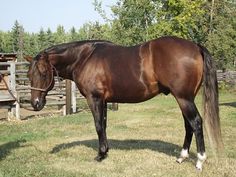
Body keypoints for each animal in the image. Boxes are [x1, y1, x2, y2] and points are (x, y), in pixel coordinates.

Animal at [26, 36, 223, 170]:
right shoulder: (104, 100)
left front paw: (100, 155)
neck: (84, 57)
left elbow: (98, 125)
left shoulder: (94, 98)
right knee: (188, 125)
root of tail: (195, 46)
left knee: (196, 122)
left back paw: (200, 161)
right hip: (185, 98)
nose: (35, 104)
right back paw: (181, 157)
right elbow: (104, 125)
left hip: (183, 98)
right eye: (29, 74)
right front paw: (105, 151)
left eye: (43, 72)